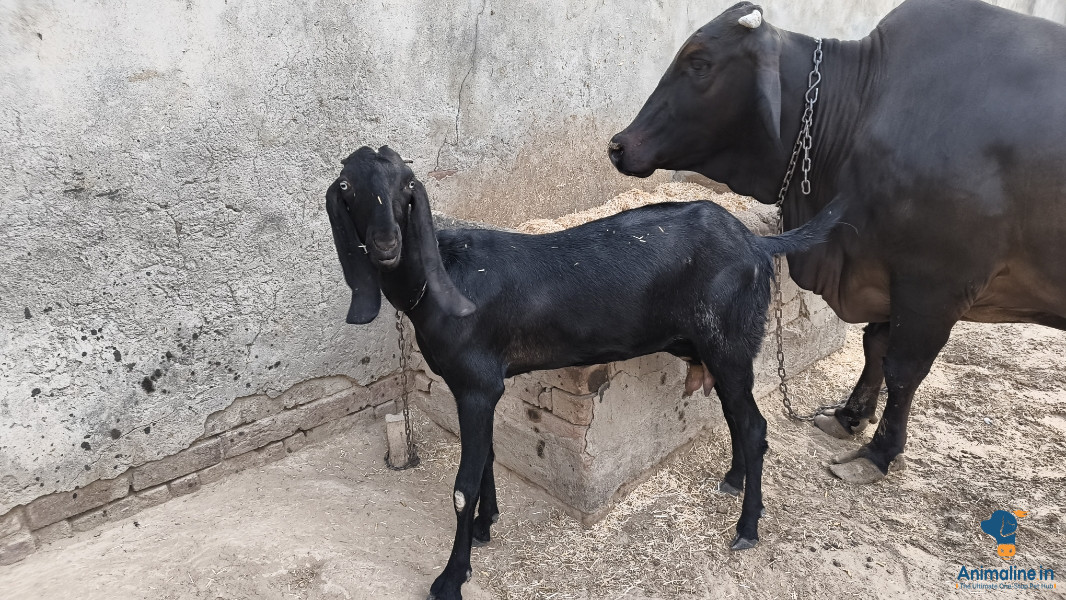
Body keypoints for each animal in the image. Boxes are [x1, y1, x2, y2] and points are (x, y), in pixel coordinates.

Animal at [326, 145, 839, 600]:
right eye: (347, 186)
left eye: (406, 186)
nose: (386, 245)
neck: (444, 278)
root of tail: (756, 240)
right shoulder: (478, 388)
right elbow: (488, 456)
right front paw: (486, 525)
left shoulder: (477, 385)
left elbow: (462, 486)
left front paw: (452, 578)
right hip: (716, 350)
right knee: (738, 417)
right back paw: (733, 481)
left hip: (729, 343)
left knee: (753, 427)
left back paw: (747, 527)